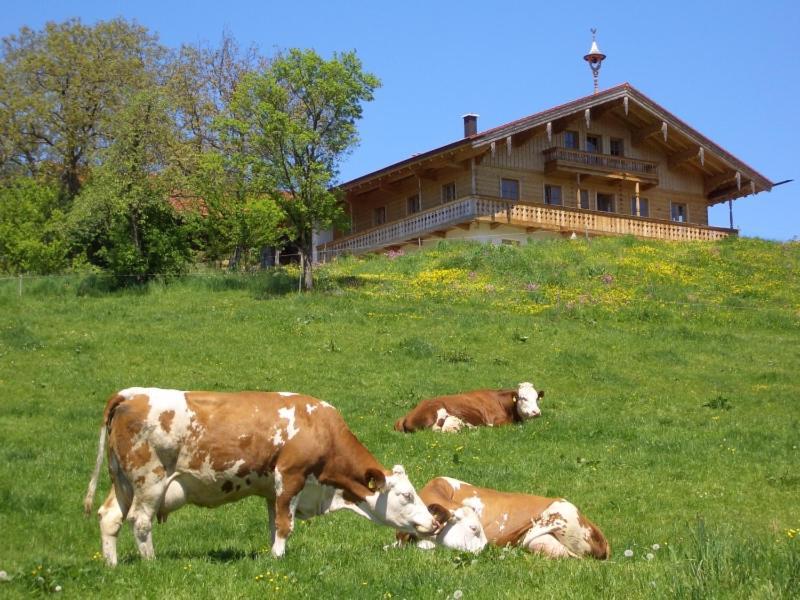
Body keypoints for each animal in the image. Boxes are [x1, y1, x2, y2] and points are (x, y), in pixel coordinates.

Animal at [83, 386, 438, 564]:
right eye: (406, 495)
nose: (434, 523)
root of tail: (129, 393)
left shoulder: (272, 489)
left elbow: (273, 524)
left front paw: (272, 555)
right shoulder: (291, 476)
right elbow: (285, 524)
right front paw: (279, 559)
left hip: (122, 480)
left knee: (110, 517)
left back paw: (112, 564)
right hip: (149, 480)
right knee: (140, 522)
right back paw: (151, 564)